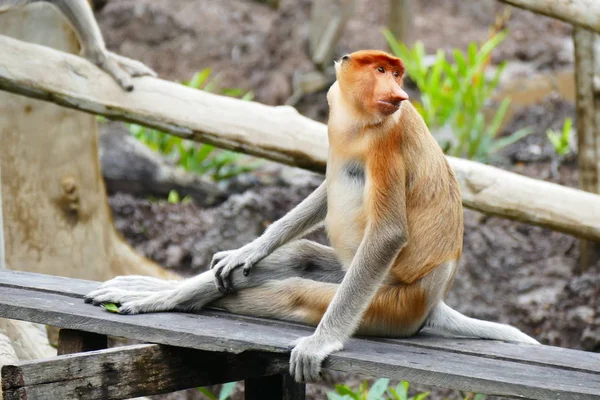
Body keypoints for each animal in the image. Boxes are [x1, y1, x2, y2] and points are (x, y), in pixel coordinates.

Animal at [85, 49, 540, 382]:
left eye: (398, 74)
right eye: (382, 70)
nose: (399, 91)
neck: (357, 120)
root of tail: (433, 300)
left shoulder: (388, 139)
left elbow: (389, 234)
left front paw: (320, 344)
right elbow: (323, 193)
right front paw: (245, 252)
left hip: (390, 302)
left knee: (294, 293)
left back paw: (159, 299)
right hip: (352, 273)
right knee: (298, 256)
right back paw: (152, 290)